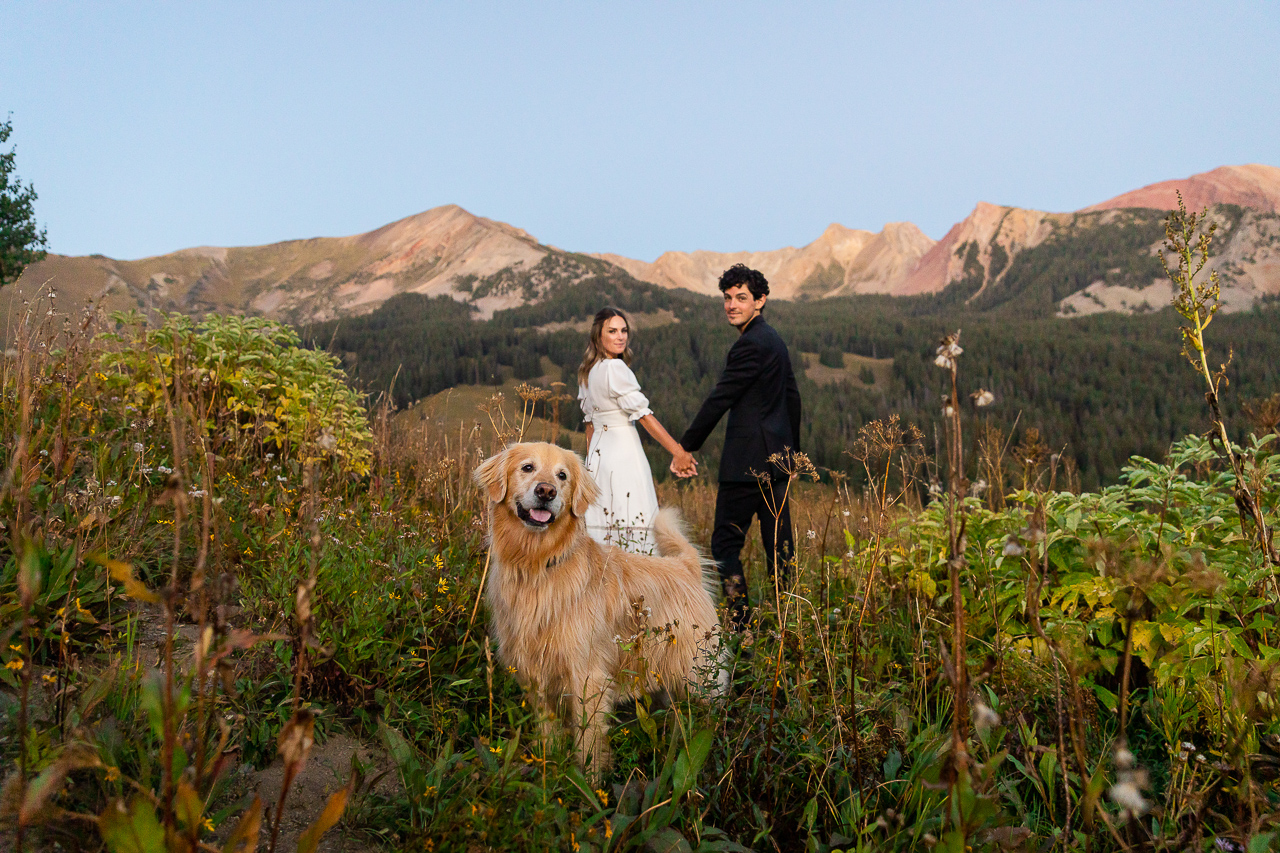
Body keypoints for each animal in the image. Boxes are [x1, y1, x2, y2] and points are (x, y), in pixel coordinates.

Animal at [476, 438, 727, 768]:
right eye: (527, 467)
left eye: (562, 476)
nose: (546, 492)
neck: (539, 564)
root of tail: (686, 566)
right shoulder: (535, 673)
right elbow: (548, 732)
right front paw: (552, 763)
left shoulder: (587, 677)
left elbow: (588, 741)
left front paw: (589, 776)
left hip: (698, 677)